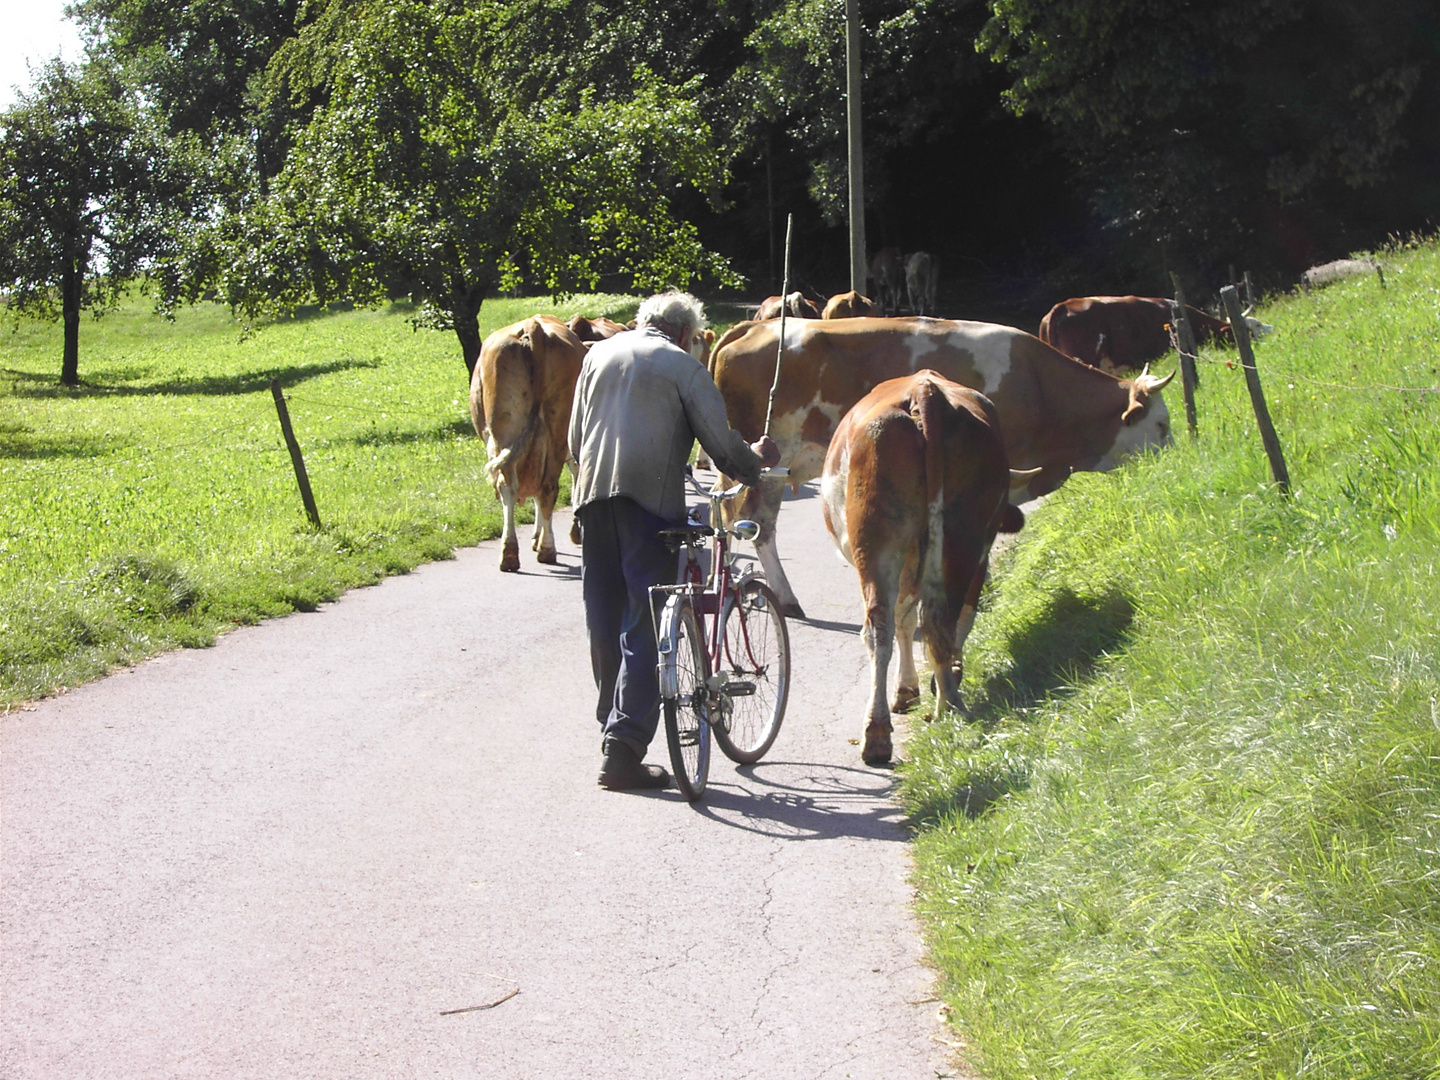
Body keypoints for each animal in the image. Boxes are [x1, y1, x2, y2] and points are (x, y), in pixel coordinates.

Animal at [472, 315, 584, 576]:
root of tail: (534, 325)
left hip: (513, 433)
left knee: (522, 487)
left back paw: (530, 551)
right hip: (542, 430)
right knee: (536, 487)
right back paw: (526, 549)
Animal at [708, 316, 1169, 616]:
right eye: (1162, 425)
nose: (1175, 462)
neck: (1039, 384)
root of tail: (753, 326)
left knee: (743, 519)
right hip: (762, 456)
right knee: (747, 520)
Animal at [823, 377, 1025, 766]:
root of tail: (925, 389)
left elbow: (904, 621)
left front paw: (907, 691)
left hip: (881, 544)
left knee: (883, 629)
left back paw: (884, 730)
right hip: (962, 538)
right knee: (937, 622)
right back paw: (944, 707)